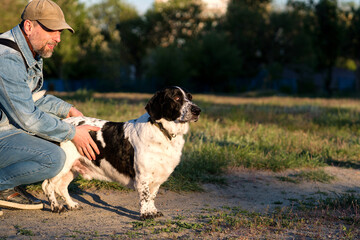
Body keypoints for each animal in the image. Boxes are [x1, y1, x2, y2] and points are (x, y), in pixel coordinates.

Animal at [42, 86, 201, 219]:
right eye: (176, 98)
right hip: (63, 166)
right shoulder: (143, 176)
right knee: (48, 185)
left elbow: (152, 196)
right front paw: (146, 214)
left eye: (190, 97)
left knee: (61, 187)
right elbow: (145, 196)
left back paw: (72, 205)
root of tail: (63, 121)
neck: (163, 132)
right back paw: (56, 207)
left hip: (72, 168)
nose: (197, 110)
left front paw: (153, 211)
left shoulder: (157, 177)